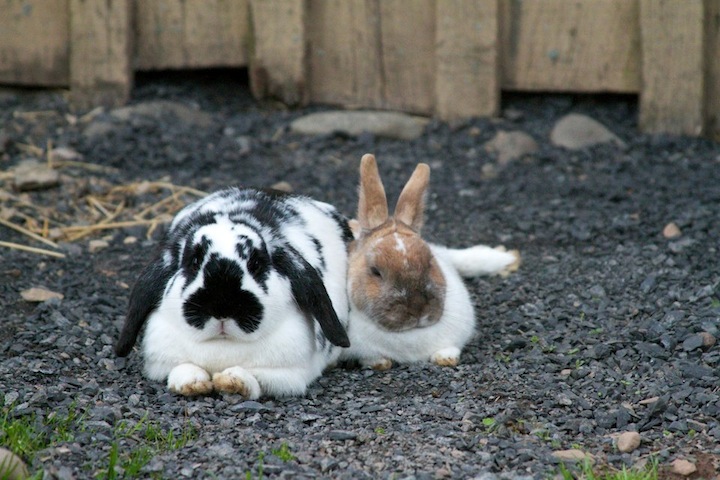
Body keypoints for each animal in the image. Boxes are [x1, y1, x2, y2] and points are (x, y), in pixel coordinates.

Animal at [115, 187, 353, 399]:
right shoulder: (163, 359)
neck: (224, 344)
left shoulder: (286, 375)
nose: (222, 306)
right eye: (194, 262)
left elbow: (256, 378)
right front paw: (193, 383)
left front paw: (232, 382)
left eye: (255, 264)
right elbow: (182, 368)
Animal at [341, 154, 520, 370]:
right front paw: (380, 362)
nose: (417, 309)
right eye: (375, 271)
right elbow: (373, 359)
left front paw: (445, 358)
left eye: (430, 262)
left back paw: (506, 259)